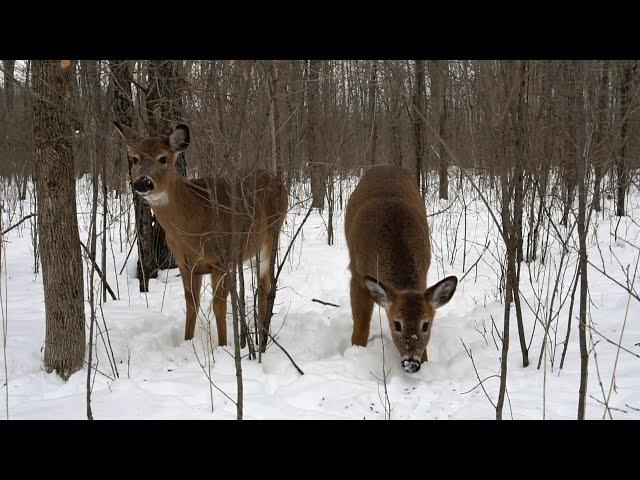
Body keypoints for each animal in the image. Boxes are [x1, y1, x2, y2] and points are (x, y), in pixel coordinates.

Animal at [114, 122, 288, 350]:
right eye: (134, 158)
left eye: (163, 158)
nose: (143, 183)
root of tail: (280, 182)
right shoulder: (185, 263)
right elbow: (191, 304)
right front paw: (187, 341)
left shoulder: (222, 260)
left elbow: (218, 306)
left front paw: (223, 346)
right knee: (263, 285)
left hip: (271, 238)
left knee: (266, 286)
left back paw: (262, 339)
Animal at [348, 164, 458, 372]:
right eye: (397, 325)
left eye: (426, 325)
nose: (411, 363)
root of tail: (384, 166)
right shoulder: (357, 275)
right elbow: (361, 323)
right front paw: (355, 350)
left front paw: (425, 361)